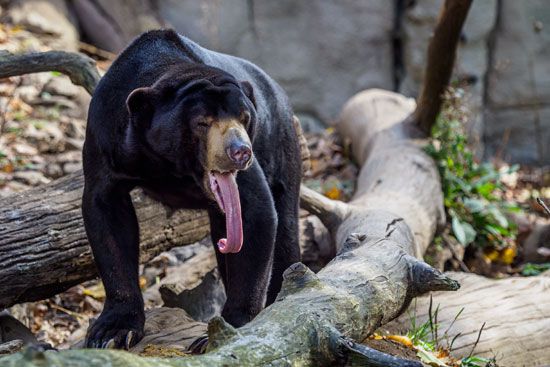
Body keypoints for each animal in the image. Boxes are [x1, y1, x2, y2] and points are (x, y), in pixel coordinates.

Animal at [83, 30, 302, 350]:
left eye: (244, 117)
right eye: (202, 122)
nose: (240, 152)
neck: (172, 164)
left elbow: (255, 211)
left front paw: (225, 330)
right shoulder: (106, 136)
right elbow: (107, 215)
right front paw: (111, 332)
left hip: (281, 146)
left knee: (285, 227)